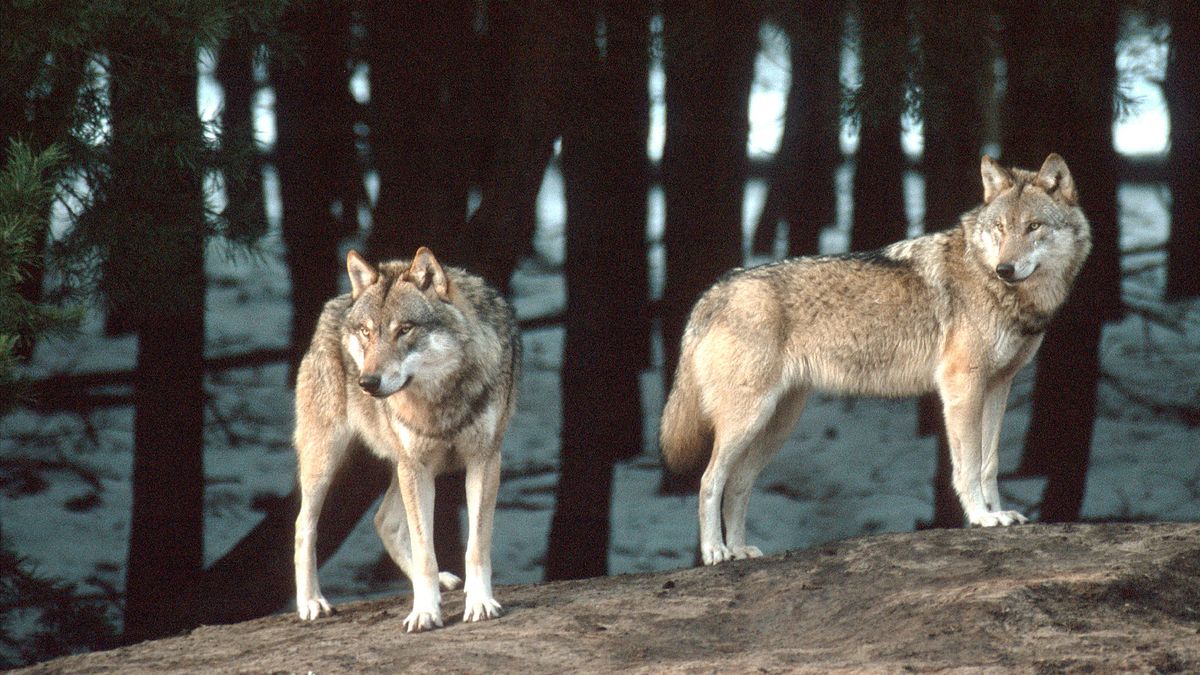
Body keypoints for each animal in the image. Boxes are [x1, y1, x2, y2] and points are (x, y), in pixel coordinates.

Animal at [292, 247, 518, 629]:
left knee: (384, 521)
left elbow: (476, 546)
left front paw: (480, 602)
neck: (438, 399)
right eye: (367, 332)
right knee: (303, 526)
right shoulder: (417, 467)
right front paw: (425, 611)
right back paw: (311, 602)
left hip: (401, 468)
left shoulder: (484, 460)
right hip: (327, 463)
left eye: (405, 330)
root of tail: (338, 303)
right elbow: (425, 550)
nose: (367, 383)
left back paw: (442, 584)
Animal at [662, 152, 1094, 562]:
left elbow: (989, 464)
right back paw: (715, 552)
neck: (996, 286)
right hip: (748, 421)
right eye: (1001, 228)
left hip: (776, 425)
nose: (1005, 268)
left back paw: (739, 551)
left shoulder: (999, 386)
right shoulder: (963, 385)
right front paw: (981, 517)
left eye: (1033, 227)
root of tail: (715, 290)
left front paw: (999, 512)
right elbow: (968, 466)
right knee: (709, 481)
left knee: (737, 484)